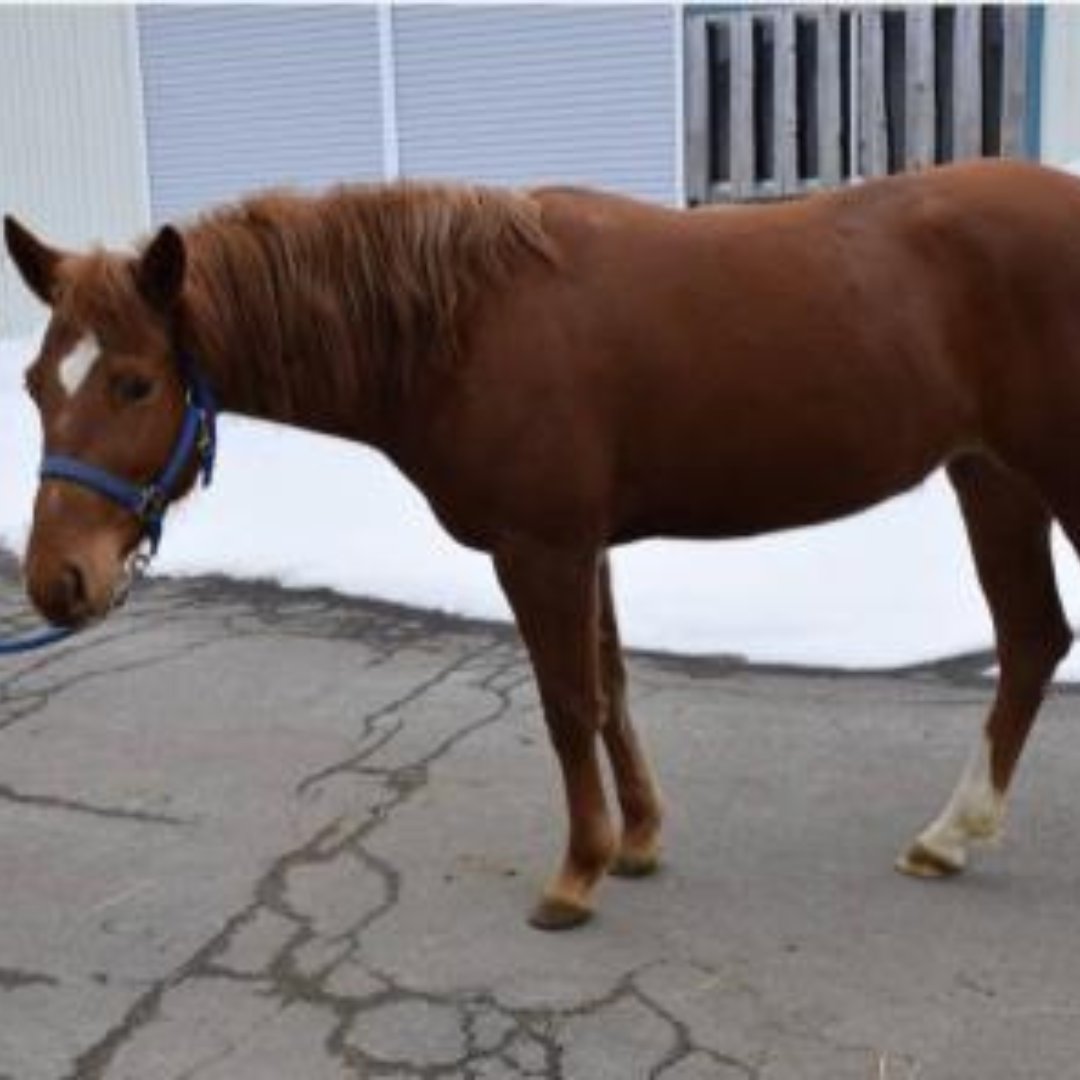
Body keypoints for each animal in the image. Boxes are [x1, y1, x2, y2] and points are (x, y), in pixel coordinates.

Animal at [6, 158, 1080, 930]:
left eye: (135, 383)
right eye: (34, 382)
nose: (59, 581)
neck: (466, 323)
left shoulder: (542, 549)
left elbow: (569, 705)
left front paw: (578, 873)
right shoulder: (586, 545)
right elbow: (611, 688)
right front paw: (639, 841)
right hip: (992, 478)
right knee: (1032, 640)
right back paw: (949, 836)